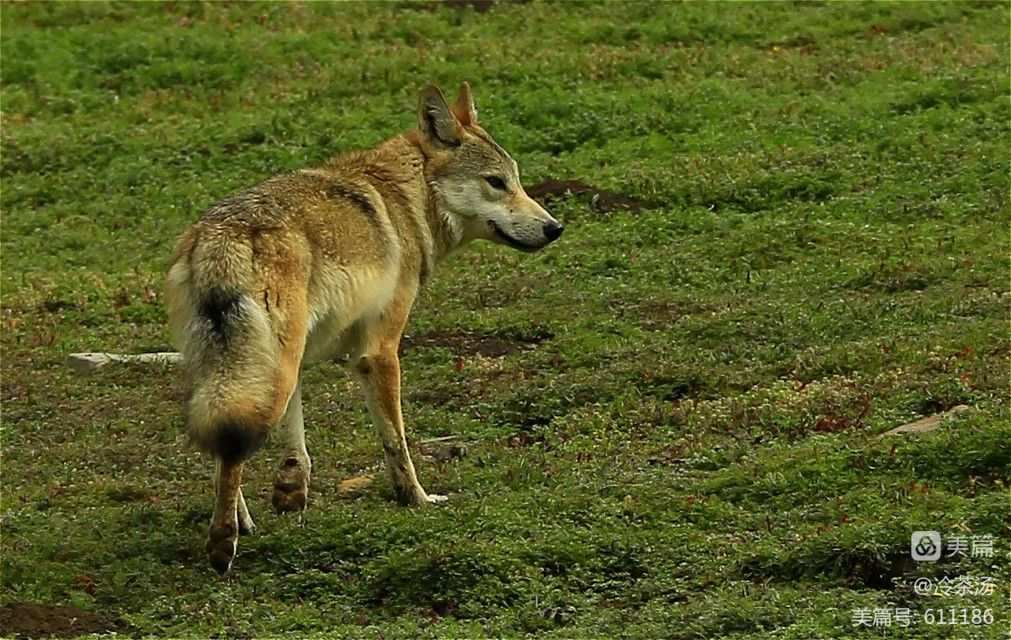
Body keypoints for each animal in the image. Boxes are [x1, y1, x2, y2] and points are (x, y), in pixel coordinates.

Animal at [163, 82, 562, 570]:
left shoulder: (301, 358)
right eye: (496, 182)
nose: (555, 227)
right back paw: (223, 544)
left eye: (516, 180)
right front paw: (417, 499)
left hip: (245, 368)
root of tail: (218, 241)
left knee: (224, 438)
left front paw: (291, 491)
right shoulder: (378, 352)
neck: (406, 200)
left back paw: (242, 523)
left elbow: (295, 439)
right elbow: (397, 443)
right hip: (268, 366)